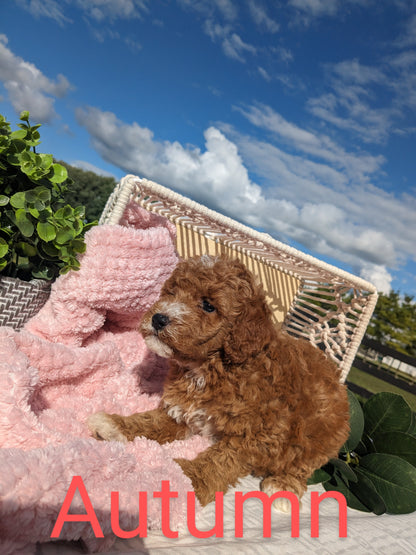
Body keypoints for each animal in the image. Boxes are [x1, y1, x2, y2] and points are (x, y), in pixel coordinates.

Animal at [89, 256, 350, 508]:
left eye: (208, 305)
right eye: (172, 293)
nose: (159, 318)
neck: (212, 367)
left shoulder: (258, 434)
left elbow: (221, 460)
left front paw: (189, 478)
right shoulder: (182, 409)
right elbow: (151, 421)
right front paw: (116, 425)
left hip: (321, 436)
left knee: (302, 464)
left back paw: (283, 486)